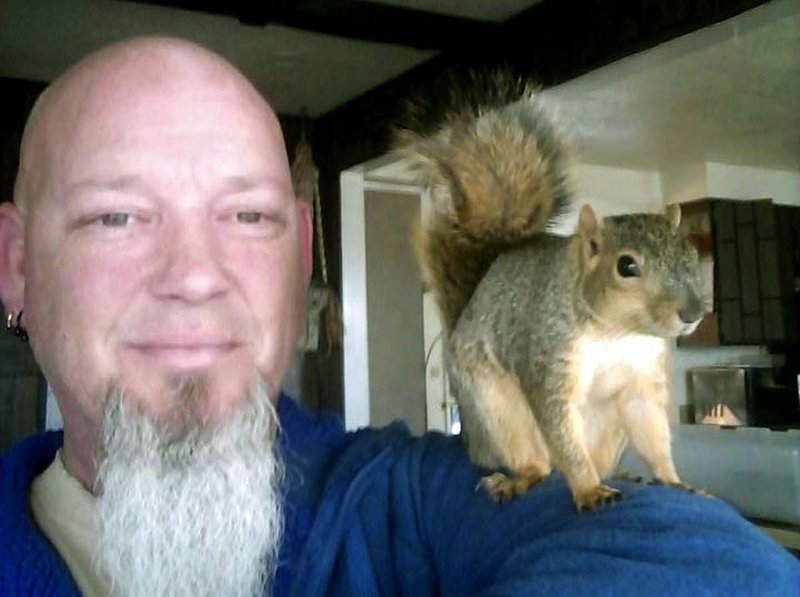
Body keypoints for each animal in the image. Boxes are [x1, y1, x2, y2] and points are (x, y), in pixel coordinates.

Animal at [396, 75, 704, 512]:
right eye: (626, 266)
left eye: (692, 252)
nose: (693, 313)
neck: (618, 332)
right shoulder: (548, 355)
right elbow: (562, 435)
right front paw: (589, 490)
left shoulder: (642, 377)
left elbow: (652, 432)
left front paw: (675, 481)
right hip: (496, 409)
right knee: (538, 462)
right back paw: (520, 478)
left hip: (609, 429)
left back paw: (620, 473)